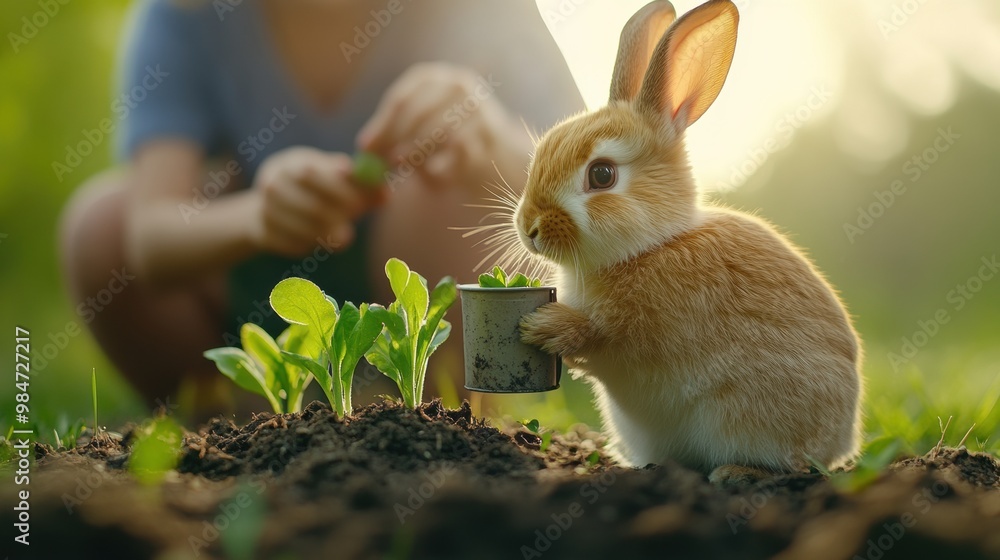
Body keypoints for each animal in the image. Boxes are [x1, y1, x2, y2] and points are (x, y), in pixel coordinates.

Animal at [516, 0, 862, 486]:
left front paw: (544, 327)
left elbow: (599, 336)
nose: (529, 228)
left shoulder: (633, 335)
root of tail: (844, 439)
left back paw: (735, 473)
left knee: (791, 466)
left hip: (747, 418)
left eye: (601, 175)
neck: (649, 246)